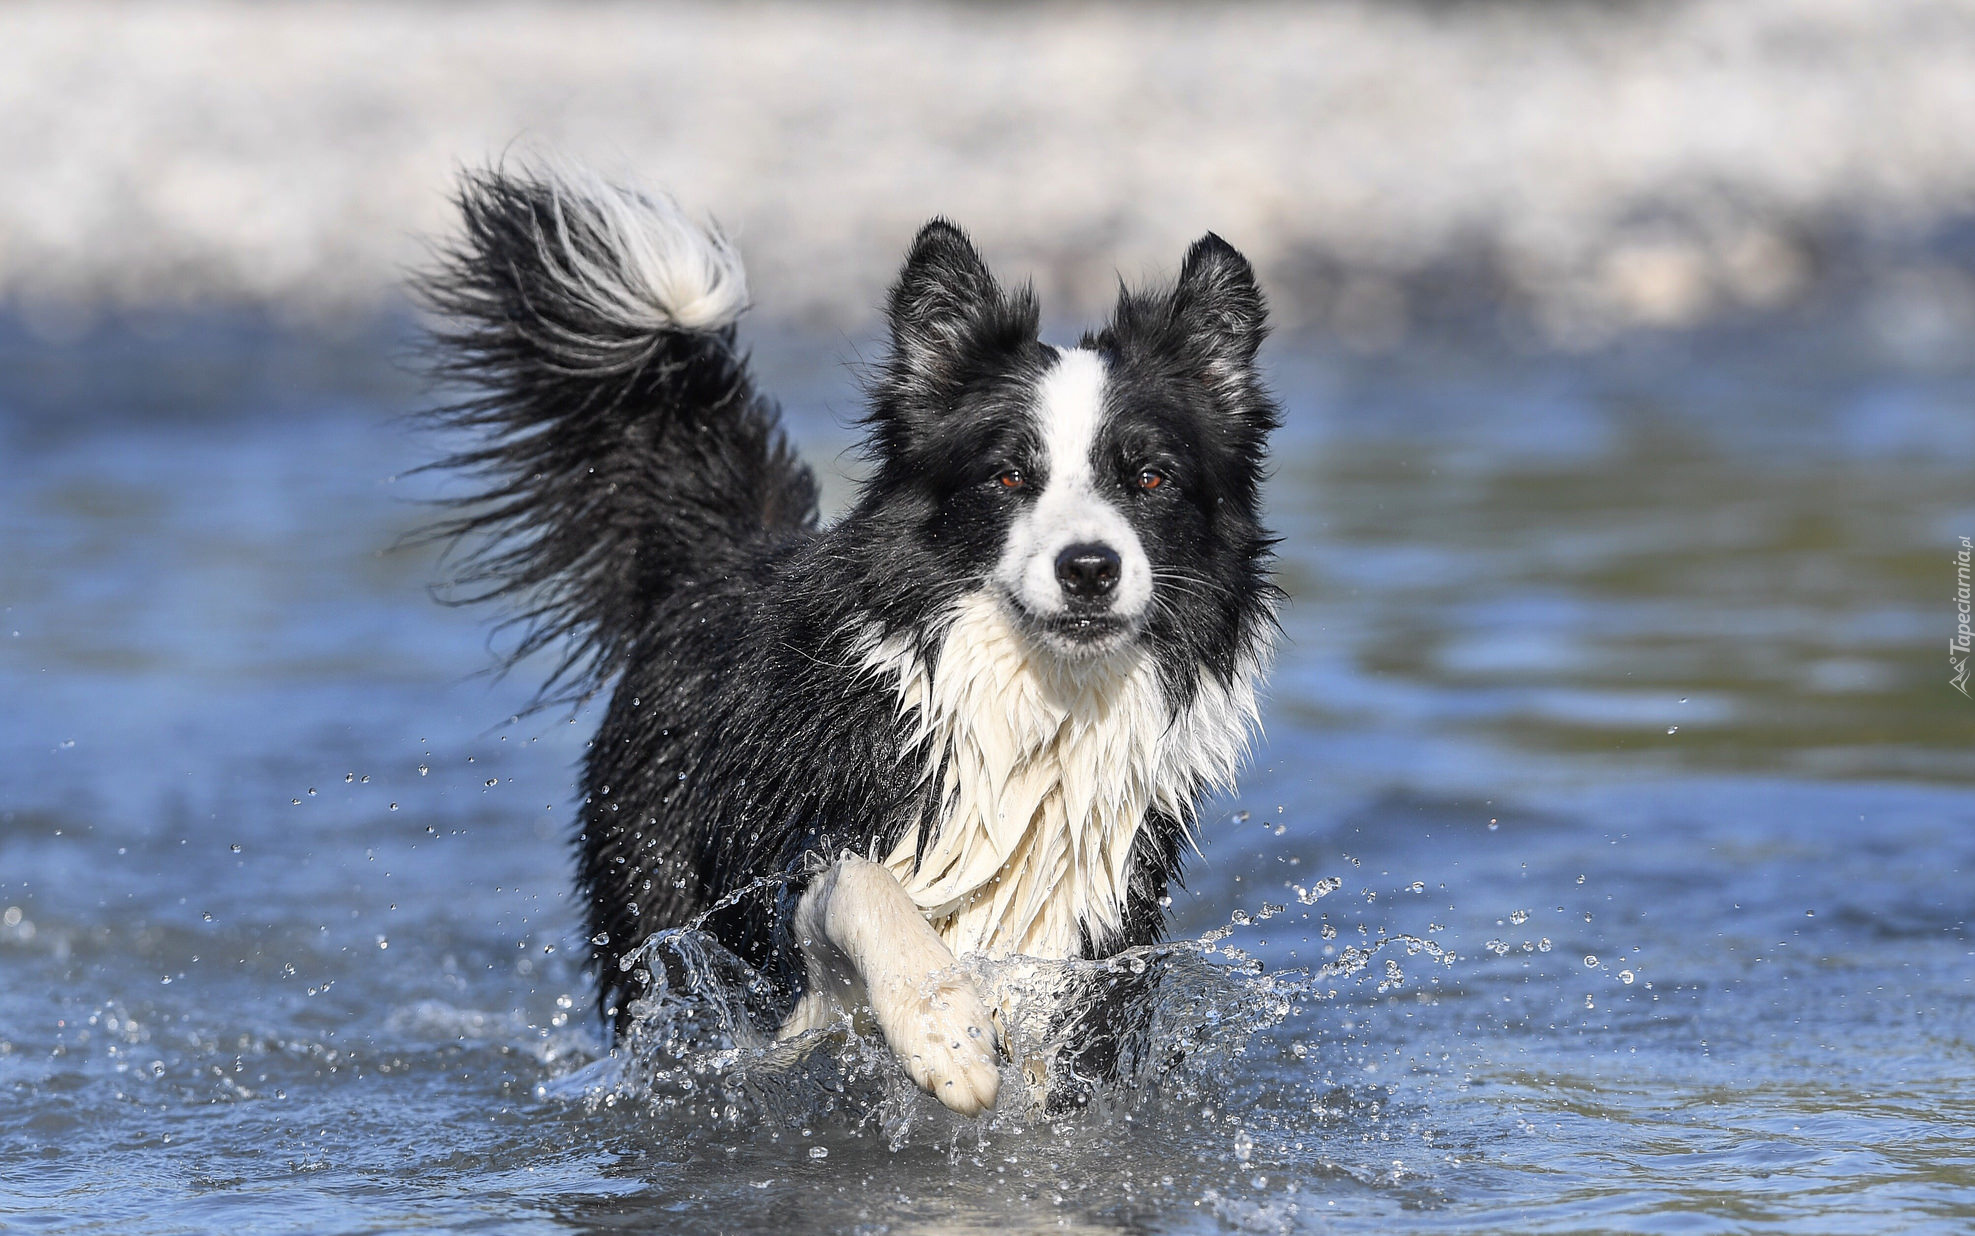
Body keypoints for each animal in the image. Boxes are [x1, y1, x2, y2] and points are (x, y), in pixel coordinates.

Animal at [420, 168, 1279, 1113]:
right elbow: (857, 883)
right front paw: (945, 1028)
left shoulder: (1098, 942)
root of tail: (721, 558)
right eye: (1007, 476)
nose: (1088, 567)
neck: (1032, 712)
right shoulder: (775, 894)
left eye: (1150, 478)